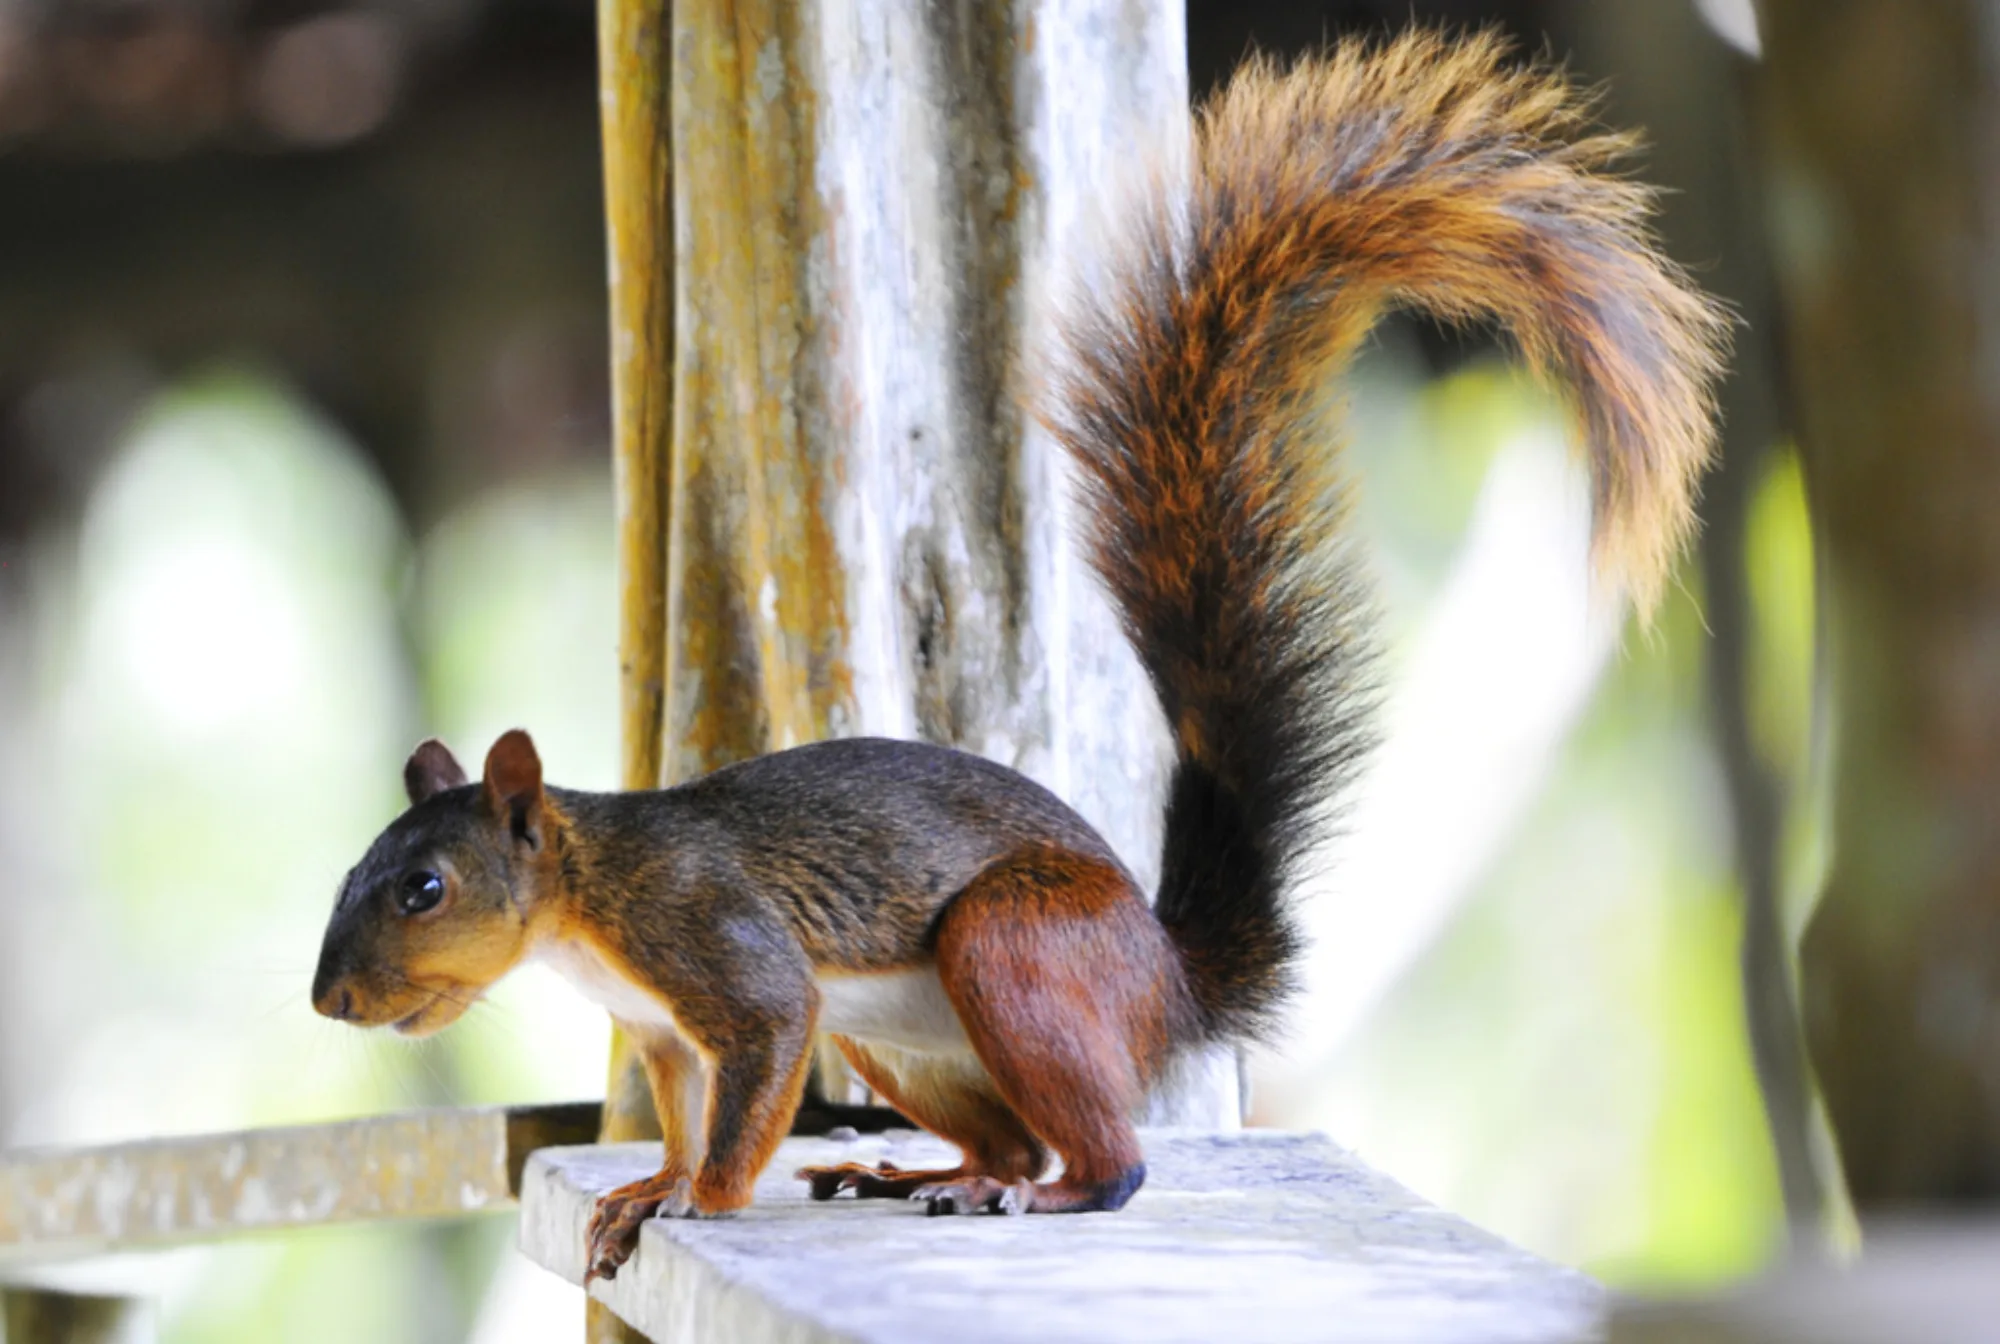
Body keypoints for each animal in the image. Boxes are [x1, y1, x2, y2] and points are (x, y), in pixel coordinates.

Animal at [310, 30, 1726, 1284]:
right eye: (357, 869)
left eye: (424, 888)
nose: (330, 1006)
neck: (587, 901)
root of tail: (1162, 982)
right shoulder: (657, 1033)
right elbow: (679, 1108)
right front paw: (648, 1181)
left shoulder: (718, 951)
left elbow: (754, 1079)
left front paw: (698, 1200)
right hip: (904, 1045)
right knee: (1007, 1134)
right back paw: (927, 1172)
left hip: (1017, 953)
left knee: (1106, 1158)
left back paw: (1041, 1193)